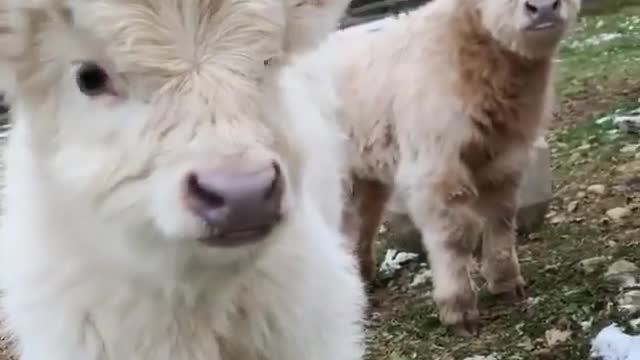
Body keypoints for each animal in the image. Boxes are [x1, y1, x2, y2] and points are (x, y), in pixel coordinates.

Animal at [324, 0, 580, 334]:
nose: (544, 7)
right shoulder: (437, 166)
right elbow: (455, 234)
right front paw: (459, 308)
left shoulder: (503, 160)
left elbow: (501, 219)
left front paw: (506, 284)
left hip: (364, 173)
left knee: (361, 222)